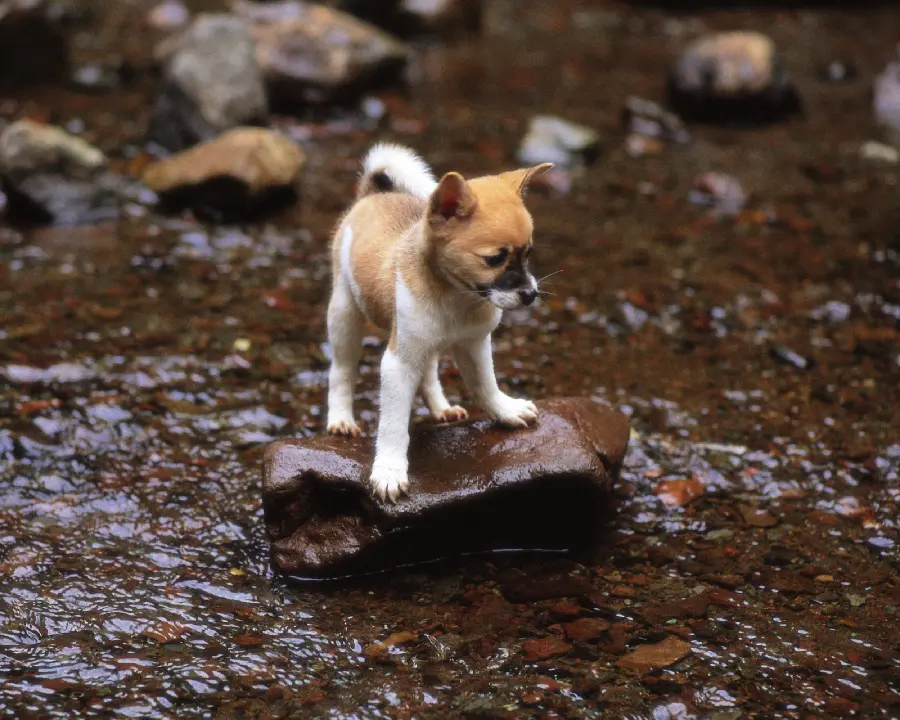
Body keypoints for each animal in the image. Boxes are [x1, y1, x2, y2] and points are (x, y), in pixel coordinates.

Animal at [324, 141, 548, 500]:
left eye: (527, 253)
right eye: (494, 259)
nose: (530, 294)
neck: (457, 299)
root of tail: (371, 194)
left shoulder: (474, 345)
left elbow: (485, 385)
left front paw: (505, 410)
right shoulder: (398, 363)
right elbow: (393, 424)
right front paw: (389, 469)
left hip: (421, 341)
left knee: (428, 370)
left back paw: (442, 408)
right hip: (345, 315)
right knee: (342, 371)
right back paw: (342, 419)